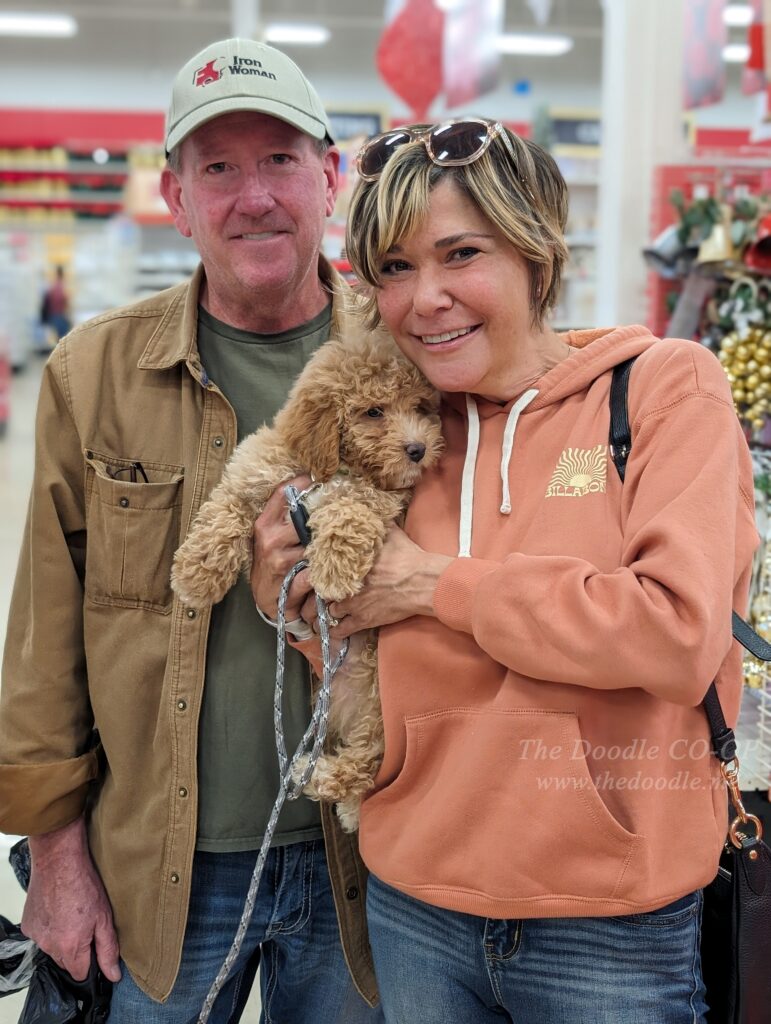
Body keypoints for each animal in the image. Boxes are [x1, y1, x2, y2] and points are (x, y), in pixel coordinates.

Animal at [171, 325, 443, 830]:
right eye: (374, 411)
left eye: (420, 408)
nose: (417, 450)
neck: (334, 468)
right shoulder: (258, 472)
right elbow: (224, 510)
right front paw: (195, 574)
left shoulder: (383, 498)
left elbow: (351, 506)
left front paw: (333, 567)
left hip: (382, 698)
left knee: (369, 759)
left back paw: (314, 776)